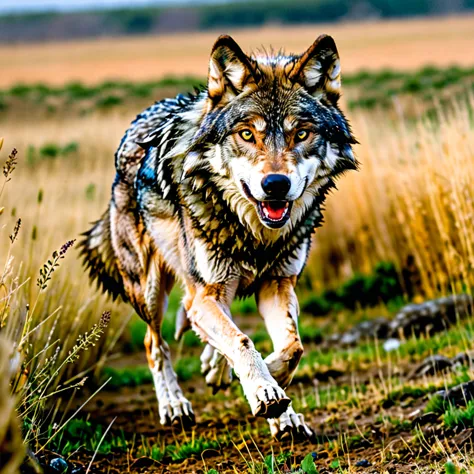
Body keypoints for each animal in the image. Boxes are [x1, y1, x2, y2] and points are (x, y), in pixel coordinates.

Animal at [79, 35, 358, 438]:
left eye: (302, 134)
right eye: (247, 134)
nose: (276, 185)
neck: (255, 236)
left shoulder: (277, 284)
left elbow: (292, 347)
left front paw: (275, 390)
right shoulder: (209, 292)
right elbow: (242, 340)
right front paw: (264, 391)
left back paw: (218, 368)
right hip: (150, 291)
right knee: (154, 342)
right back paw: (174, 406)